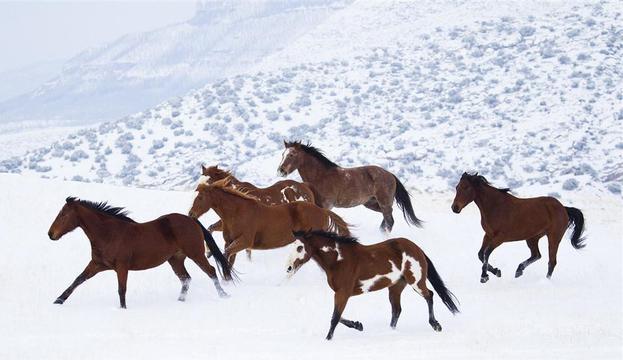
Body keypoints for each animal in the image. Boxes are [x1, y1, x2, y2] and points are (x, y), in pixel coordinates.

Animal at [46, 195, 232, 308]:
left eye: (63, 215)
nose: (50, 234)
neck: (108, 234)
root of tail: (192, 220)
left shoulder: (122, 267)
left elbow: (121, 289)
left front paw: (123, 309)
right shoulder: (97, 264)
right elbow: (78, 280)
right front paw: (58, 300)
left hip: (196, 254)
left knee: (211, 271)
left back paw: (224, 295)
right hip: (175, 260)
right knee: (186, 279)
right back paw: (180, 301)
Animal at [185, 178, 352, 268]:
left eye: (200, 197)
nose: (190, 214)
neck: (238, 212)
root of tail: (322, 211)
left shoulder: (244, 242)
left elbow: (225, 254)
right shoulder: (230, 242)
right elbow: (228, 256)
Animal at [278, 139, 424, 232]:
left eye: (292, 154)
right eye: (283, 154)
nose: (281, 170)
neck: (321, 176)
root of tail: (390, 175)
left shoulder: (327, 206)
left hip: (384, 202)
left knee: (389, 221)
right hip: (371, 203)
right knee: (387, 218)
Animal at [286, 231, 458, 340]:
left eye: (300, 247)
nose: (288, 268)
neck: (339, 260)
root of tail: (416, 248)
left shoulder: (343, 293)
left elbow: (335, 317)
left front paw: (328, 339)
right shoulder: (341, 293)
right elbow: (338, 316)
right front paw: (358, 325)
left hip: (416, 281)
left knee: (429, 295)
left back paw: (435, 325)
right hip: (395, 287)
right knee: (397, 310)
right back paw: (390, 331)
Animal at [450, 173, 588, 282]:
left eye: (466, 187)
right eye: (457, 187)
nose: (455, 208)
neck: (495, 206)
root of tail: (563, 208)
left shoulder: (500, 238)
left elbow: (486, 253)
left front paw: (484, 276)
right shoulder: (488, 235)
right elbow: (480, 254)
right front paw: (496, 271)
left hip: (553, 237)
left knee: (551, 261)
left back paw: (545, 280)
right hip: (532, 238)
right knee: (537, 255)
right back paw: (519, 270)